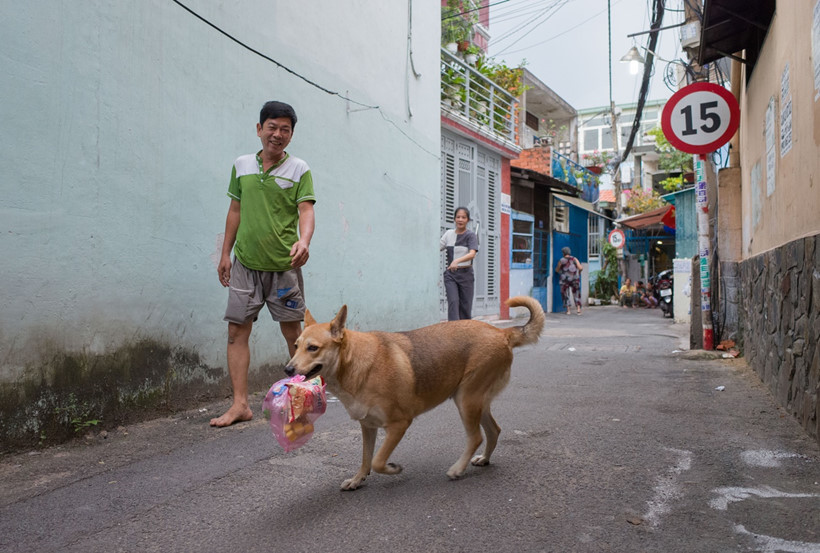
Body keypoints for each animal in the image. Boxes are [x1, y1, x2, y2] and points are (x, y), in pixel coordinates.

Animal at [282, 296, 544, 490]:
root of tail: (502, 333)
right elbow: (366, 459)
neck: (353, 363)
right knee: (494, 431)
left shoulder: (399, 425)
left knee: (476, 436)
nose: (287, 370)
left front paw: (392, 469)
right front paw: (358, 479)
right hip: (477, 402)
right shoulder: (368, 426)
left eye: (313, 348)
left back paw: (458, 469)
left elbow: (377, 461)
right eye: (296, 346)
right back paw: (484, 459)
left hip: (466, 400)